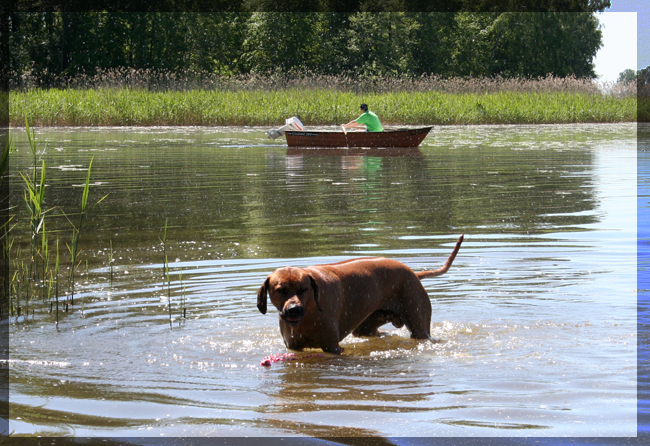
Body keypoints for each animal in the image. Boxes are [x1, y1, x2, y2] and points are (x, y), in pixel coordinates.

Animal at [256, 233, 464, 356]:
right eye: (280, 290)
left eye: (303, 289)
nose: (294, 310)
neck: (309, 313)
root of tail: (414, 273)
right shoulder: (294, 347)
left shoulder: (332, 347)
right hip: (367, 325)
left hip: (419, 325)